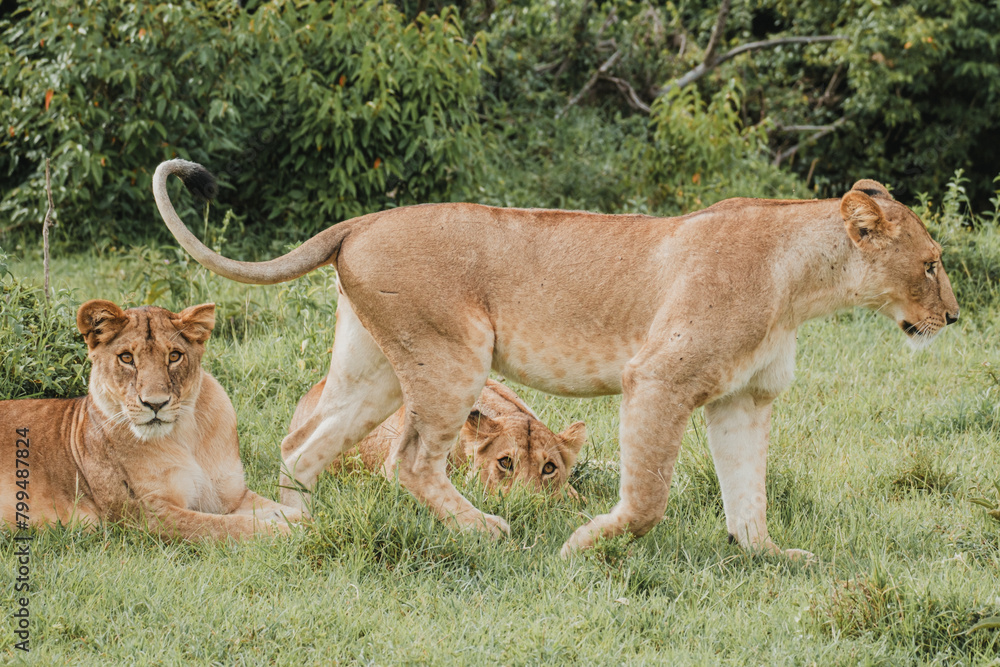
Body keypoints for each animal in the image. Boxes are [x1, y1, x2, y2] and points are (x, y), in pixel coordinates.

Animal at [0, 300, 302, 540]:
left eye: (174, 356)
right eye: (126, 358)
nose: (155, 404)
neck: (184, 434)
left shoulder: (230, 497)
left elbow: (289, 510)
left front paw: (307, 521)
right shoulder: (146, 515)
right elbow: (225, 527)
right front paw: (290, 534)